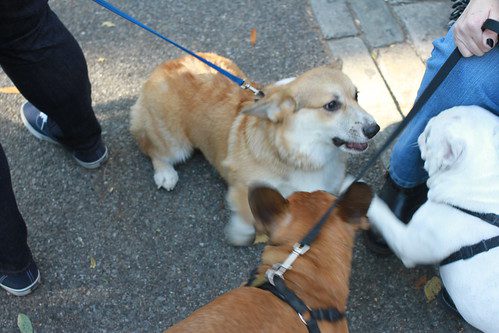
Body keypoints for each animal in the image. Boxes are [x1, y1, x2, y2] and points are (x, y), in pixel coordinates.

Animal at [130, 52, 378, 244]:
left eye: (356, 96)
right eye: (332, 105)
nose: (375, 129)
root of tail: (165, 65)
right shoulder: (242, 188)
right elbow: (247, 218)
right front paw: (240, 233)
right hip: (175, 143)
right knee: (153, 149)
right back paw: (165, 174)